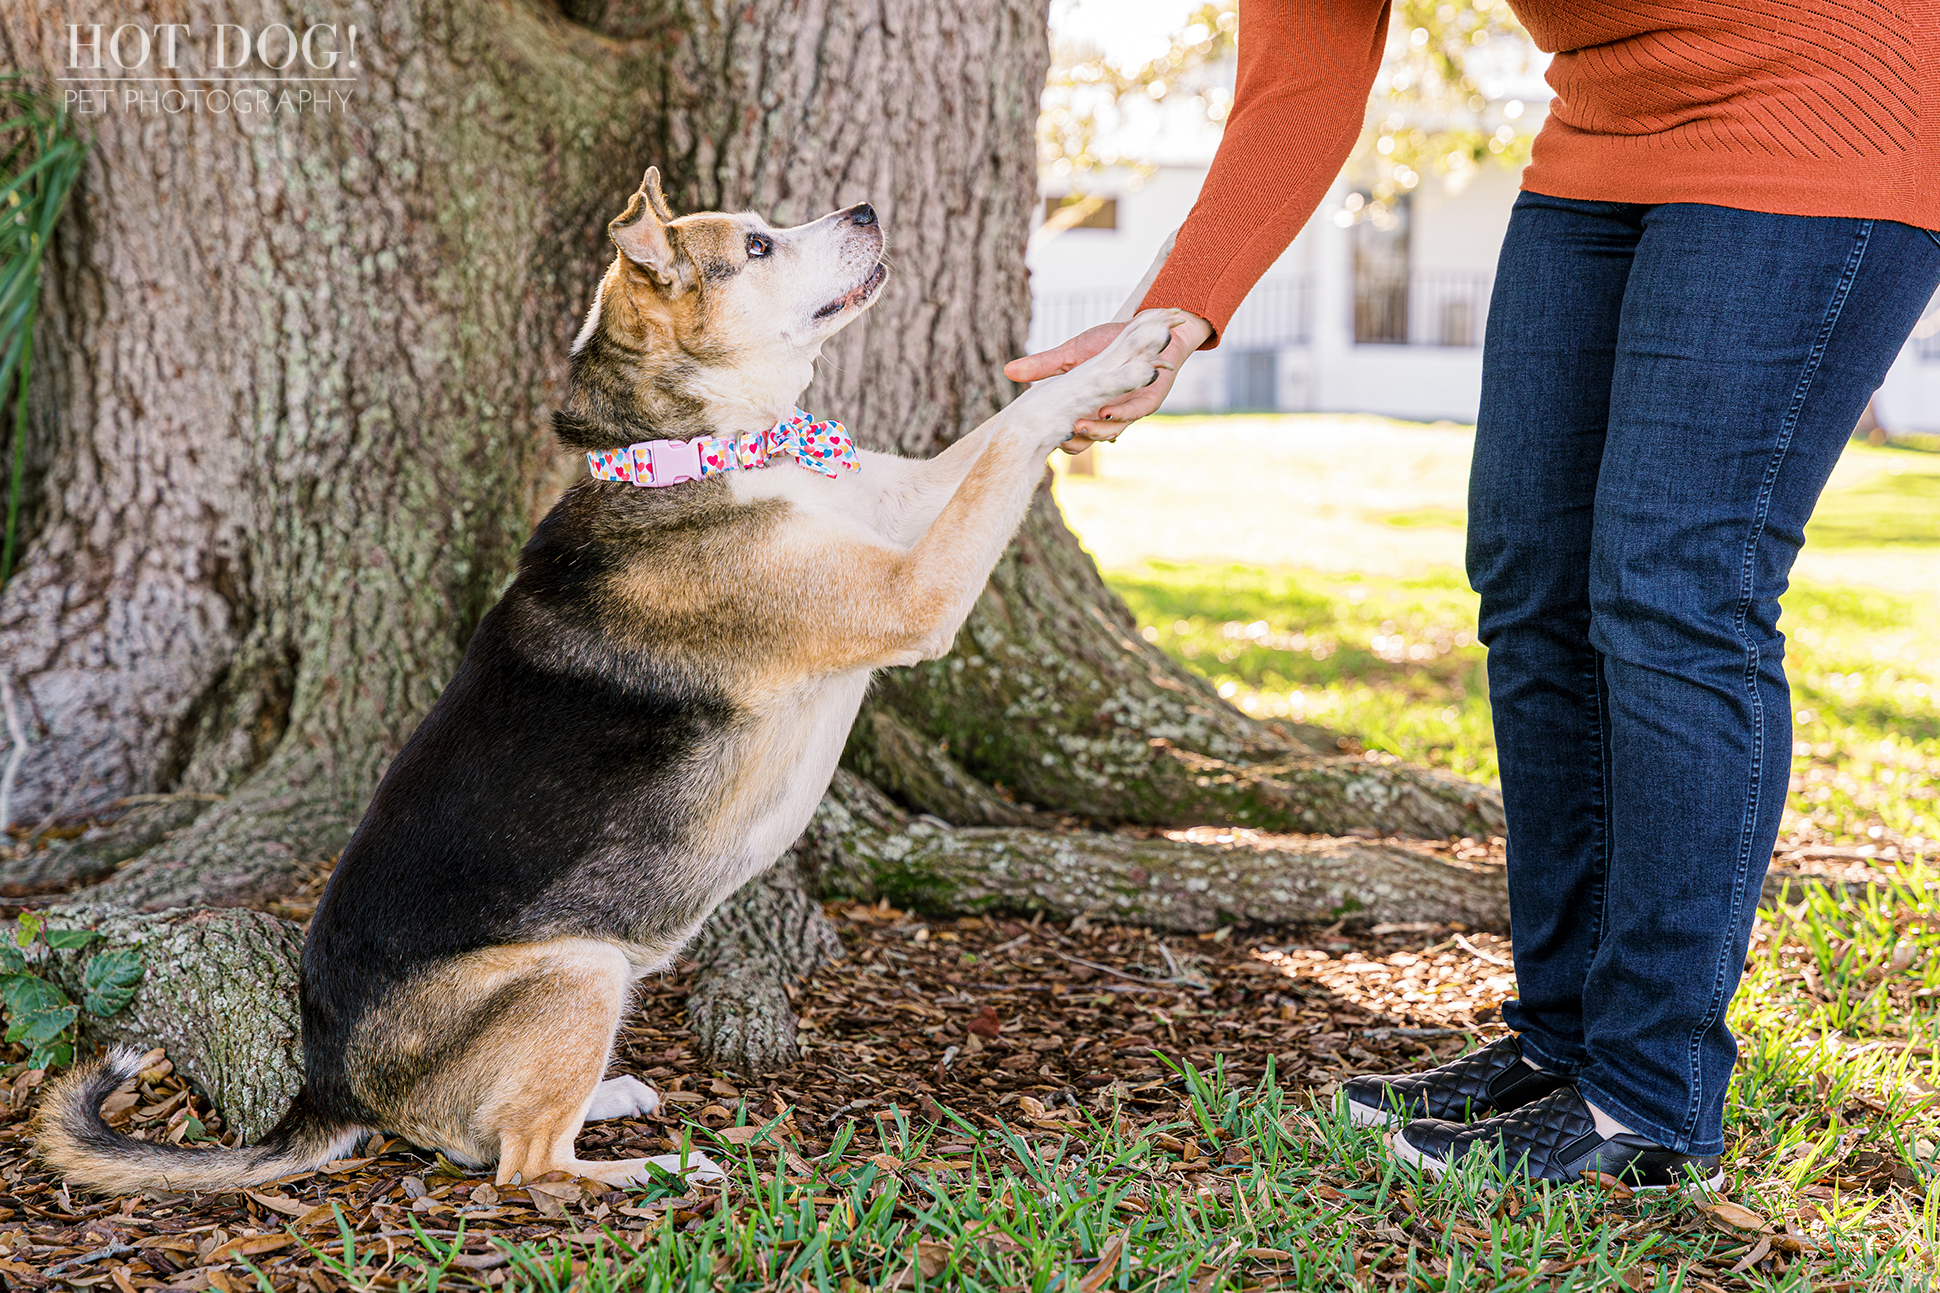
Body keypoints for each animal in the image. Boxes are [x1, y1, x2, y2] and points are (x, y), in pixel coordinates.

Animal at [34, 168, 1179, 1188]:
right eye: (756, 244)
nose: (864, 207)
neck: (700, 448)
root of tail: (330, 1089)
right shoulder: (914, 591)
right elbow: (1015, 439)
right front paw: (1118, 355)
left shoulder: (894, 507)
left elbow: (988, 433)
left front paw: (1117, 348)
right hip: (579, 965)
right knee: (520, 1169)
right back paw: (652, 1169)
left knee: (483, 1142)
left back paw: (610, 1098)